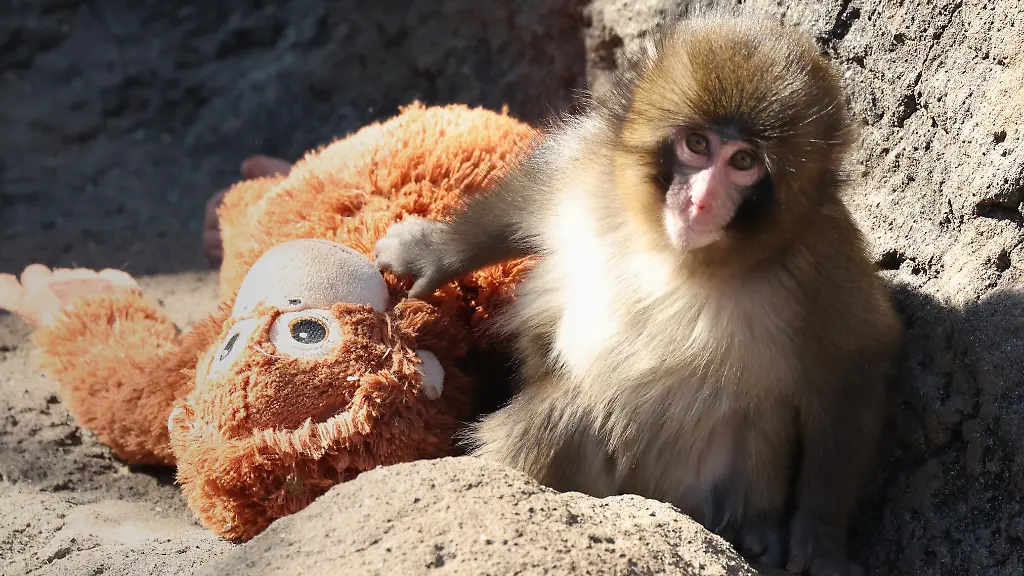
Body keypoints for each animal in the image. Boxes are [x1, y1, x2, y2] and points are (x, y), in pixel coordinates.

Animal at [374, 15, 902, 576]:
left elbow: (855, 363)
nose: (701, 200)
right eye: (697, 145)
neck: (675, 254)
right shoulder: (590, 167)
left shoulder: (821, 261)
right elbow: (528, 196)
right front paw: (433, 252)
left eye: (743, 161)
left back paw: (758, 530)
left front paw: (820, 534)